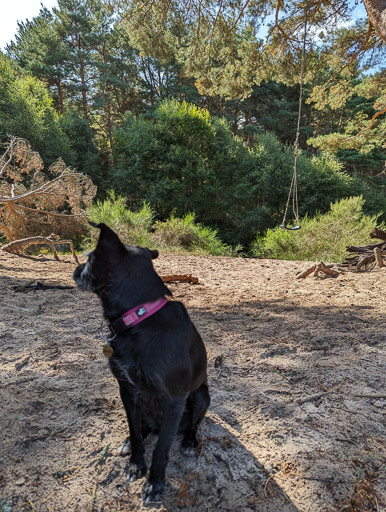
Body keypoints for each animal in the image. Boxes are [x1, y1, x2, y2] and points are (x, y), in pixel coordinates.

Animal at [73, 222, 210, 502]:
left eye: (89, 259)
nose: (74, 271)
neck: (139, 319)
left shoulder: (173, 400)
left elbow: (161, 450)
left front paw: (154, 484)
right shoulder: (126, 390)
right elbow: (136, 433)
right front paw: (136, 464)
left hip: (201, 396)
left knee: (192, 426)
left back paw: (189, 442)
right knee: (144, 428)